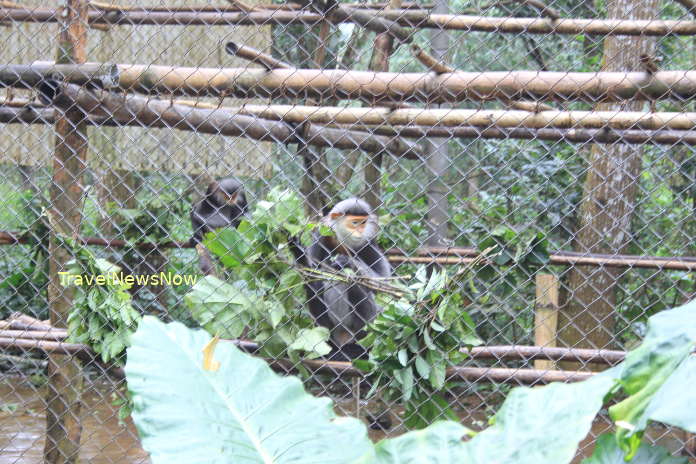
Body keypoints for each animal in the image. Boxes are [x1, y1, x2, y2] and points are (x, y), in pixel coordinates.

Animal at [292, 198, 392, 360]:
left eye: (363, 223)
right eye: (355, 223)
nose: (360, 231)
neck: (342, 244)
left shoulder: (368, 243)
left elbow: (383, 284)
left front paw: (348, 262)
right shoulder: (321, 236)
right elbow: (312, 275)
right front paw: (301, 255)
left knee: (354, 284)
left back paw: (358, 348)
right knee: (318, 286)